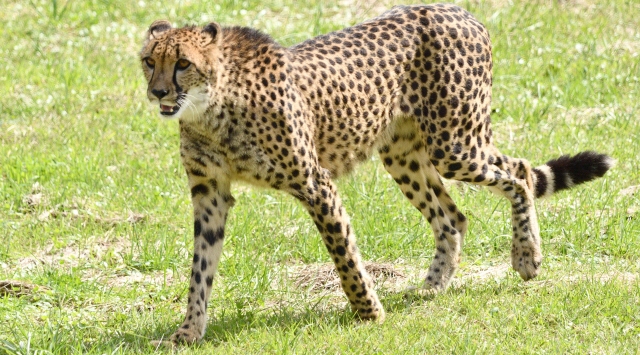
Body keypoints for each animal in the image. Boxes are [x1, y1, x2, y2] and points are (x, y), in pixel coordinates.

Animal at [139, 3, 608, 344]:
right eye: (148, 60)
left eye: (182, 63)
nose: (157, 91)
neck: (210, 108)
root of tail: (460, 11)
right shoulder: (210, 194)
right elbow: (200, 269)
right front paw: (188, 331)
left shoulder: (315, 183)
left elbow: (343, 252)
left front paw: (369, 312)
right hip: (405, 155)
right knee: (455, 215)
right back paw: (432, 286)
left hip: (454, 145)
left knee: (519, 176)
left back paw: (526, 257)